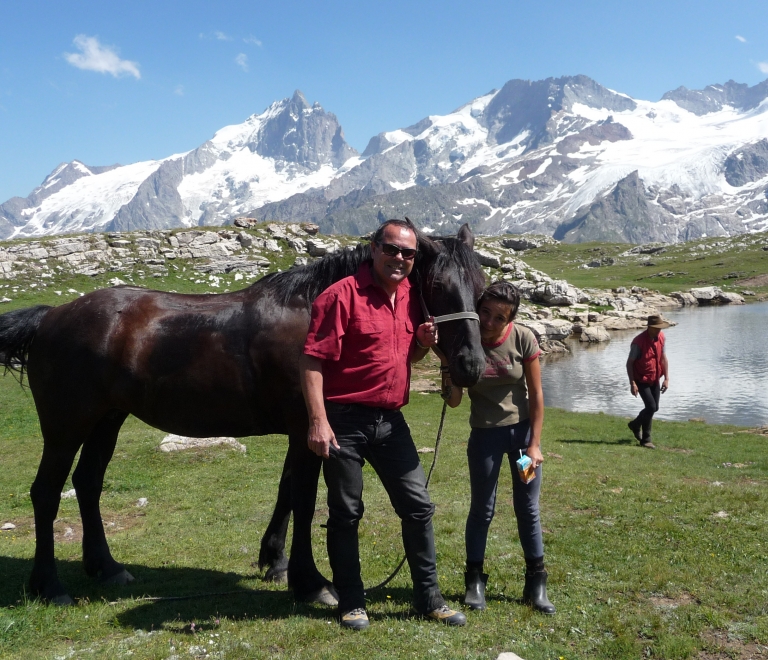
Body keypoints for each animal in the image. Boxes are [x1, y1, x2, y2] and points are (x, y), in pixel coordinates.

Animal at [0, 224, 486, 604]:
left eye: (480, 287)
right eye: (438, 286)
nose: (471, 365)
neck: (312, 314)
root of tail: (51, 317)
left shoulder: (303, 432)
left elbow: (287, 491)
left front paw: (275, 560)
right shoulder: (308, 428)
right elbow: (304, 500)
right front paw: (311, 582)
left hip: (107, 420)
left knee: (87, 484)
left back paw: (106, 567)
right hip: (66, 426)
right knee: (46, 493)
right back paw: (49, 586)